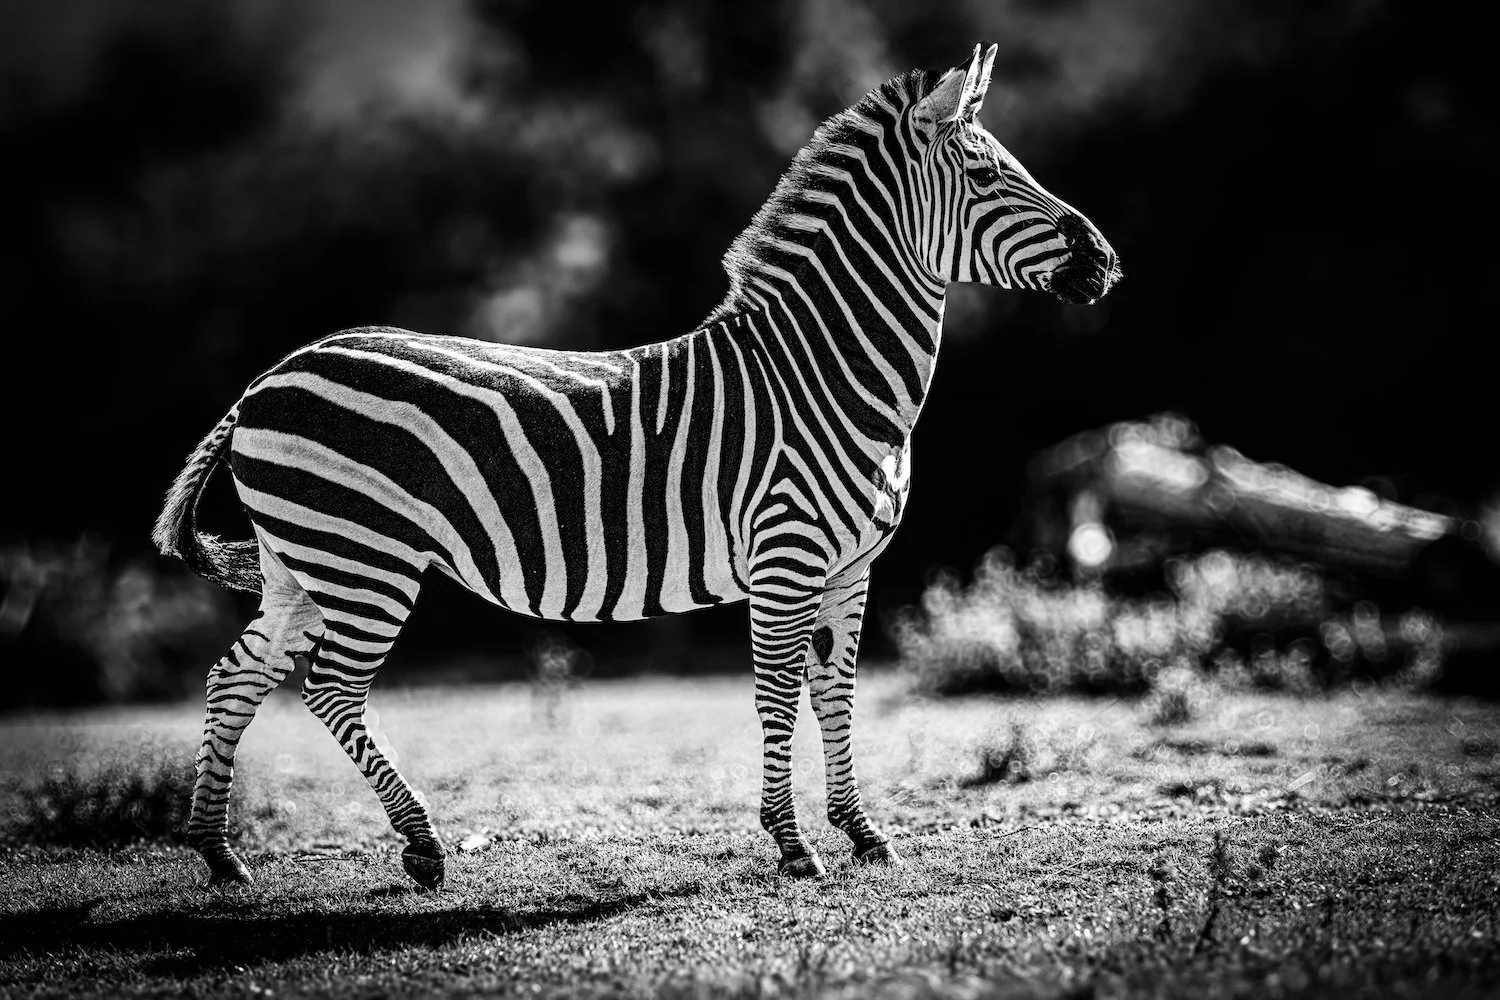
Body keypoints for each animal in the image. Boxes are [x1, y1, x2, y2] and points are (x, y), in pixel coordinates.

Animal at [154, 43, 1119, 890]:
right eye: (989, 177)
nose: (1108, 261)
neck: (824, 371)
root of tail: (271, 375)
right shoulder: (787, 558)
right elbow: (779, 694)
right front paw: (793, 844)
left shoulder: (851, 569)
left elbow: (836, 695)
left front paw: (863, 832)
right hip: (364, 558)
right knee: (329, 690)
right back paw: (421, 845)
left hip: (302, 562)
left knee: (237, 675)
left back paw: (219, 853)